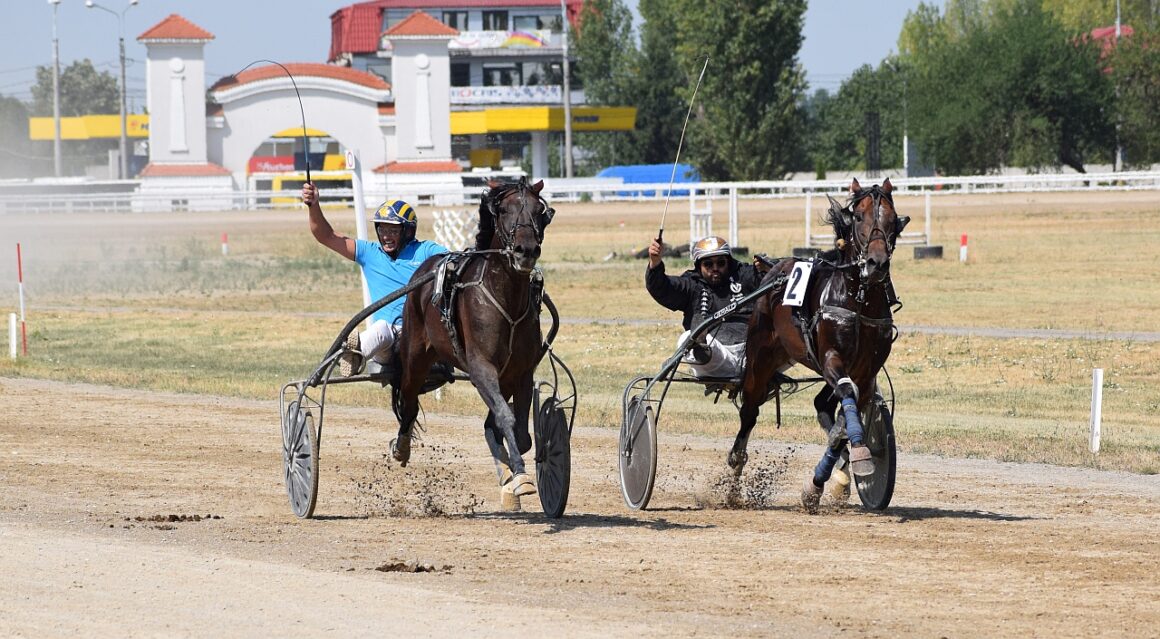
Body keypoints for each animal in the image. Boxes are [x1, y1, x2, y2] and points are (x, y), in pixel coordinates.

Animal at [387, 177, 554, 512]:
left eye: (539, 210)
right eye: (504, 210)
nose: (526, 249)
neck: (505, 297)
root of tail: (426, 268)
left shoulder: (521, 372)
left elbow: (518, 430)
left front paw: (513, 476)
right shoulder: (481, 368)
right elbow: (505, 417)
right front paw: (520, 476)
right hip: (415, 356)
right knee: (408, 400)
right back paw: (402, 446)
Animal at [733, 178, 904, 514]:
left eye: (892, 220)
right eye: (859, 217)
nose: (876, 264)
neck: (858, 300)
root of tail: (775, 269)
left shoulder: (866, 371)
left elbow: (845, 419)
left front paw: (826, 480)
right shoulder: (831, 357)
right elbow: (847, 398)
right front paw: (855, 459)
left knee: (823, 404)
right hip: (761, 357)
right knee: (749, 411)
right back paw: (733, 473)